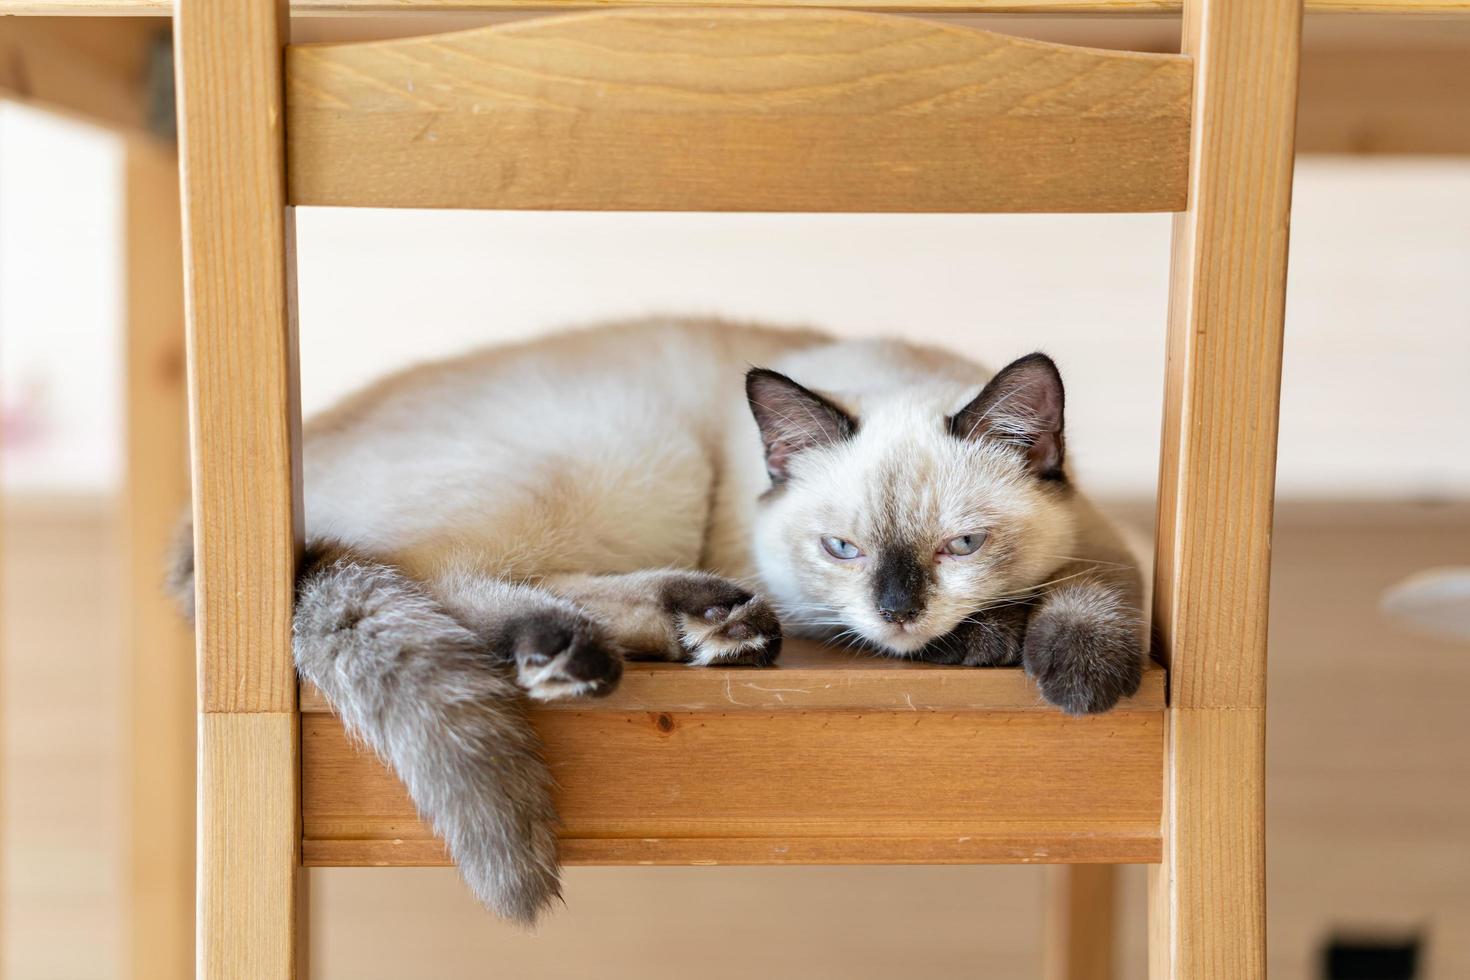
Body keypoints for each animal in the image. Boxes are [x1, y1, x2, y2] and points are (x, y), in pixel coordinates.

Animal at [166, 315, 1140, 928]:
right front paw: (997, 646)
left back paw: (703, 626)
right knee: (442, 574)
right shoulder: (807, 593)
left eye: (961, 545)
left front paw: (1069, 670)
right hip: (635, 451)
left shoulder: (1111, 550)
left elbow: (1093, 594)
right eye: (843, 548)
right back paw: (583, 649)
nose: (900, 610)